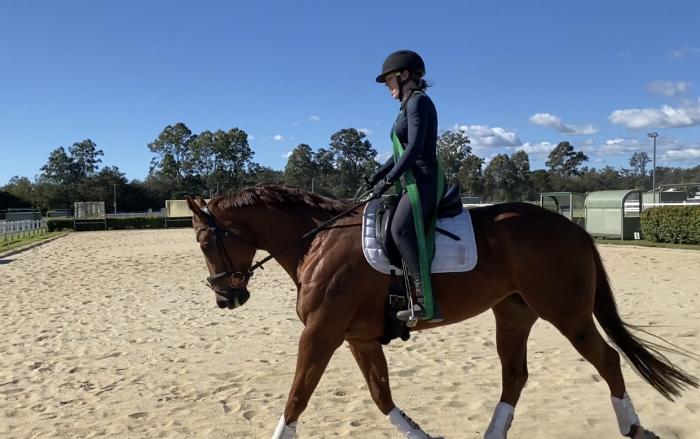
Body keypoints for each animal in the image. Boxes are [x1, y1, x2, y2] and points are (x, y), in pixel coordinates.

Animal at [185, 185, 696, 439]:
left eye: (206, 241)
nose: (225, 298)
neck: (318, 241)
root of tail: (572, 228)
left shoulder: (321, 332)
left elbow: (296, 399)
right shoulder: (358, 337)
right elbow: (381, 397)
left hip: (565, 312)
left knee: (607, 359)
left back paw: (634, 427)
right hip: (514, 314)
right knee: (515, 376)